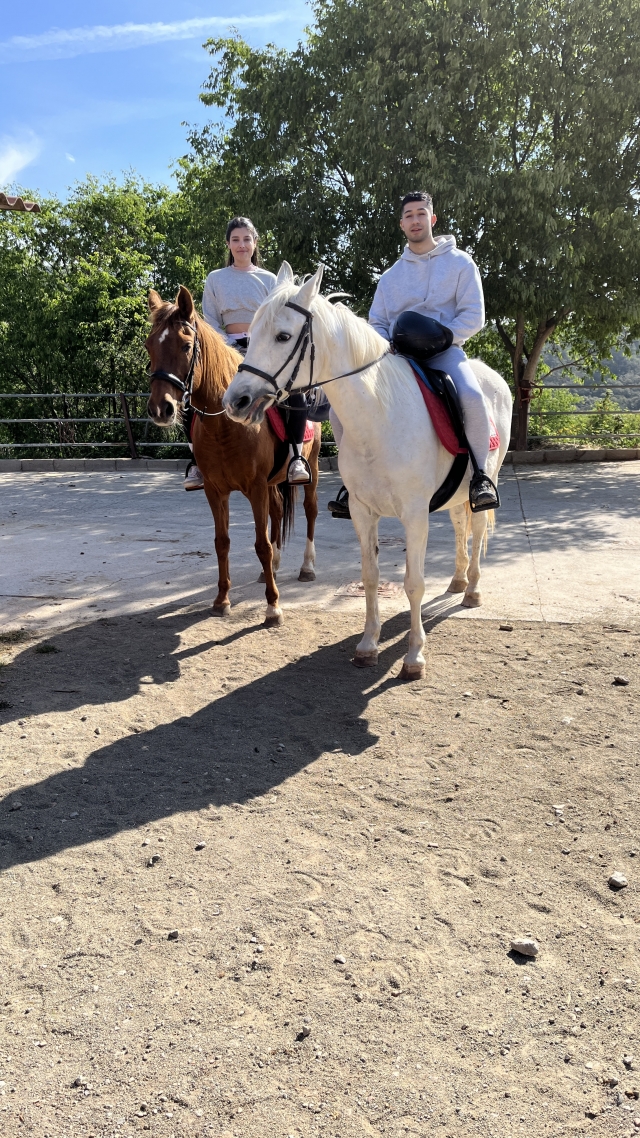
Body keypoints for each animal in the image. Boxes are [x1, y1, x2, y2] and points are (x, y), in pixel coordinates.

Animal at [145, 285, 322, 625]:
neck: (225, 427)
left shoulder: (255, 488)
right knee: (277, 511)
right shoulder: (216, 491)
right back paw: (275, 567)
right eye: (149, 346)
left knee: (310, 510)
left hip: (314, 465)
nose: (162, 409)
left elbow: (261, 544)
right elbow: (222, 542)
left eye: (186, 346)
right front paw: (221, 599)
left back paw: (307, 567)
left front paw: (273, 607)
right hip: (272, 483)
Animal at [222, 263, 513, 679]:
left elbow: (414, 584)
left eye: (283, 336)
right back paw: (458, 580)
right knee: (460, 524)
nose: (236, 401)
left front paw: (414, 656)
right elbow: (371, 577)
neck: (379, 416)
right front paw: (368, 644)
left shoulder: (414, 515)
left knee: (475, 526)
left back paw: (471, 589)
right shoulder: (362, 512)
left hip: (485, 481)